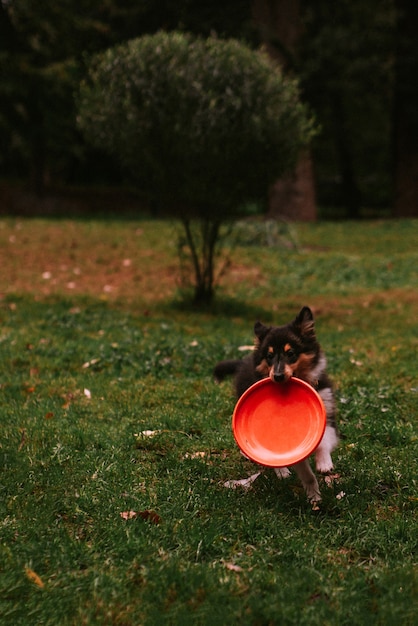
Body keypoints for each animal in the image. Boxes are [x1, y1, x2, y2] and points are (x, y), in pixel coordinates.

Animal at [214, 304, 338, 504]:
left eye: (291, 353)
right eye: (270, 356)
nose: (278, 376)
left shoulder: (328, 412)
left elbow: (324, 441)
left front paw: (324, 464)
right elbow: (305, 473)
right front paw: (313, 495)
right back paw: (280, 471)